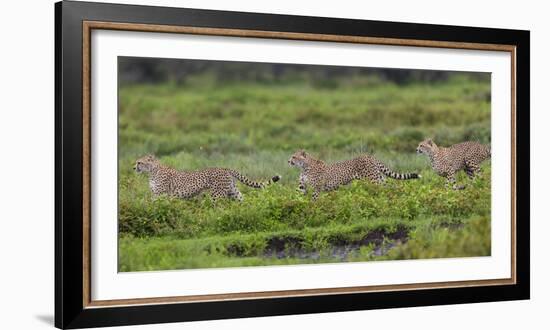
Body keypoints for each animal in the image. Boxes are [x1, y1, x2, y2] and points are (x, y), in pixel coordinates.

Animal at [133, 155, 280, 201]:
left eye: (139, 162)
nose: (134, 168)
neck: (152, 171)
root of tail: (225, 168)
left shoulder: (160, 194)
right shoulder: (157, 194)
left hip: (217, 195)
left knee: (221, 209)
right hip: (233, 192)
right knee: (242, 202)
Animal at [288, 151, 422, 200]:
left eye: (294, 156)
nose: (288, 161)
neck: (304, 167)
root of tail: (369, 156)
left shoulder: (317, 188)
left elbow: (314, 199)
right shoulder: (302, 187)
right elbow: (299, 196)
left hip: (373, 180)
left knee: (383, 189)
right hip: (379, 178)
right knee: (390, 187)